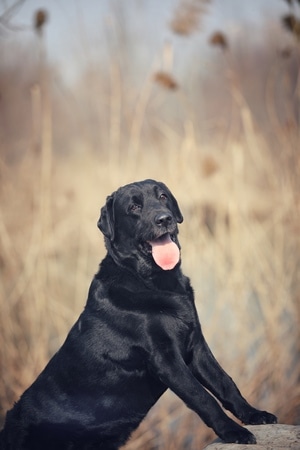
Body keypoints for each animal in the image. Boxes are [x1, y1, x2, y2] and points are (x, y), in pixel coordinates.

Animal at [0, 180, 276, 450]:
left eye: (163, 197)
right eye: (134, 207)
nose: (164, 219)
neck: (156, 282)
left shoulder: (196, 346)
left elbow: (224, 382)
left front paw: (254, 414)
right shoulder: (165, 359)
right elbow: (202, 397)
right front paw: (234, 431)